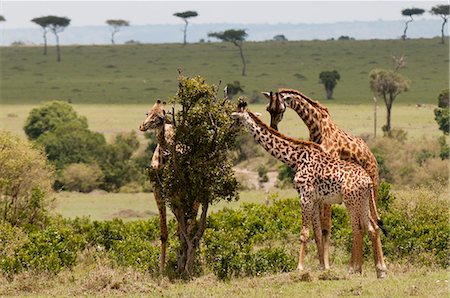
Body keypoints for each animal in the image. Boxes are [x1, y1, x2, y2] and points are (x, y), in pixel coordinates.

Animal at [232, 101, 386, 278]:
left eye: (236, 119)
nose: (230, 129)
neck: (295, 159)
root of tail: (368, 181)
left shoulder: (305, 196)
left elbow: (304, 233)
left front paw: (300, 268)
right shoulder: (315, 199)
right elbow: (317, 232)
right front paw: (322, 267)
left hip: (351, 201)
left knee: (358, 228)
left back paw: (355, 269)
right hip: (362, 201)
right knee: (371, 227)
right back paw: (376, 270)